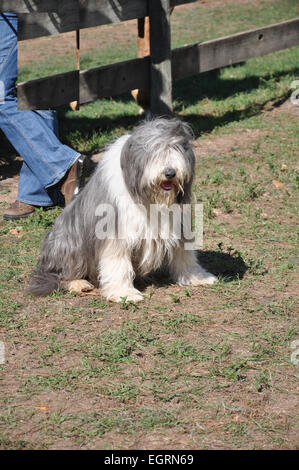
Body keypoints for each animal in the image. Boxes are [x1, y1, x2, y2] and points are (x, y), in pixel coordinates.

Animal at [28, 117, 218, 302]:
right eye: (154, 152)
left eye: (176, 149)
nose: (170, 173)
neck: (146, 196)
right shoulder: (114, 230)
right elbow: (117, 262)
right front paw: (124, 293)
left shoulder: (178, 223)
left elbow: (184, 254)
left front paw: (197, 277)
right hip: (69, 243)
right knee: (59, 275)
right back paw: (78, 283)